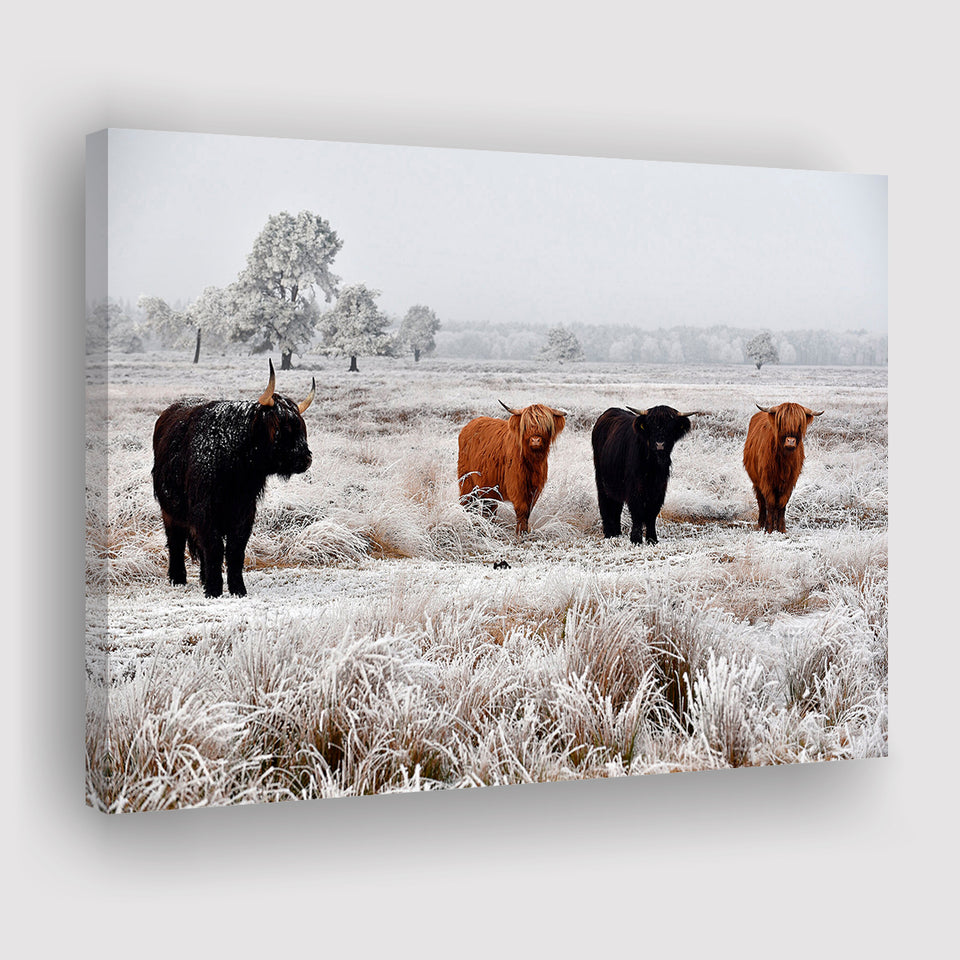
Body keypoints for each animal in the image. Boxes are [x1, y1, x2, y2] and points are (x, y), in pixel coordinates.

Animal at [152, 360, 315, 597]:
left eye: (302, 427)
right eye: (280, 427)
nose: (306, 458)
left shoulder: (244, 511)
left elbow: (235, 550)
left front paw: (237, 588)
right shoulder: (204, 510)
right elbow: (214, 547)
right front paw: (214, 589)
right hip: (170, 509)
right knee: (176, 541)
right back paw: (178, 578)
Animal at [457, 400, 566, 535]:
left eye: (546, 426)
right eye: (526, 425)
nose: (535, 440)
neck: (532, 461)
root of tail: (470, 424)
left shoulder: (535, 488)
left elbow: (528, 510)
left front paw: (525, 531)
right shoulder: (516, 484)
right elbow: (522, 509)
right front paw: (520, 533)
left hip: (488, 485)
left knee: (489, 506)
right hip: (466, 480)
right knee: (468, 502)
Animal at [592, 405, 704, 544]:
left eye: (671, 426)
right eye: (651, 425)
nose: (660, 444)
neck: (652, 466)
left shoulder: (660, 488)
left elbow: (652, 513)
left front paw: (652, 539)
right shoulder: (634, 488)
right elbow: (637, 511)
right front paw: (636, 539)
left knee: (616, 505)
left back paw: (617, 533)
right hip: (601, 478)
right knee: (604, 502)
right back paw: (609, 533)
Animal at [743, 402, 823, 533]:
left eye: (799, 424)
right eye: (782, 423)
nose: (790, 441)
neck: (784, 460)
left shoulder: (790, 482)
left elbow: (782, 504)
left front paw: (781, 528)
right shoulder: (766, 481)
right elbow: (770, 503)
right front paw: (769, 529)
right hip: (756, 481)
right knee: (761, 502)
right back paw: (761, 524)